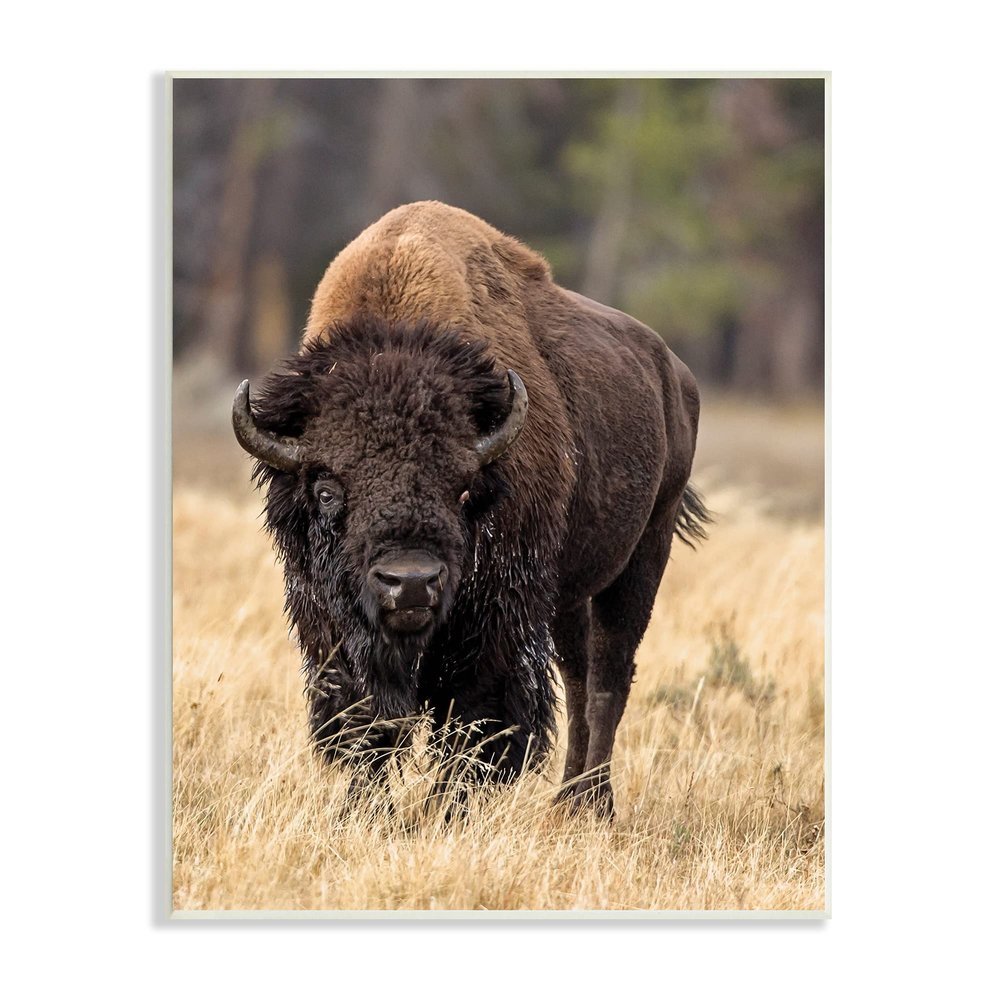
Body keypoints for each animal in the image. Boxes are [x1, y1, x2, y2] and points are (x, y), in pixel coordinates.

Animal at [233, 201, 707, 816]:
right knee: (578, 675)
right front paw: (367, 808)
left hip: (645, 551)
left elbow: (476, 717)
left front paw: (444, 809)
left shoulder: (497, 619)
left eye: (462, 488)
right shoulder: (331, 625)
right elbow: (366, 718)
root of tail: (675, 374)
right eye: (327, 489)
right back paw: (566, 799)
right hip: (568, 592)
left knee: (609, 676)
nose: (410, 583)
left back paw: (592, 804)